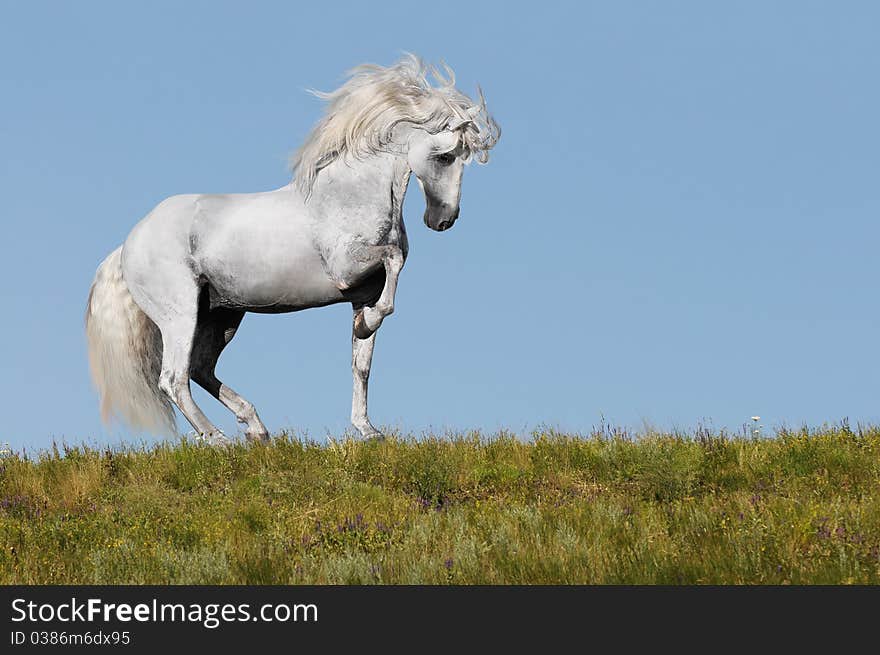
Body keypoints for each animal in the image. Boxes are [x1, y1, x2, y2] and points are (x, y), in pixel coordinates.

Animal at [85, 55, 498, 446]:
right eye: (445, 156)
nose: (443, 220)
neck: (351, 194)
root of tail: (128, 245)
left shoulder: (363, 293)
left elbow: (361, 364)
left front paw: (367, 430)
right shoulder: (346, 270)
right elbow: (390, 263)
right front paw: (370, 323)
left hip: (221, 315)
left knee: (200, 368)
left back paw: (256, 428)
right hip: (180, 313)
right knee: (173, 377)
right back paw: (218, 440)